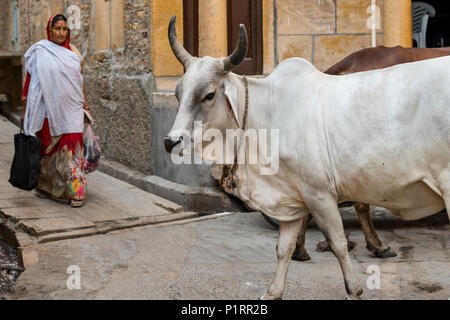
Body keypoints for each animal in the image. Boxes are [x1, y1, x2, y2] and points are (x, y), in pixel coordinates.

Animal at [164, 16, 450, 298]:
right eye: (178, 93)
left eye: (209, 94)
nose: (170, 141)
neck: (269, 114)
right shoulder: (293, 194)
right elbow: (284, 247)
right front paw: (273, 292)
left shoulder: (319, 193)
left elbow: (338, 243)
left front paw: (353, 289)